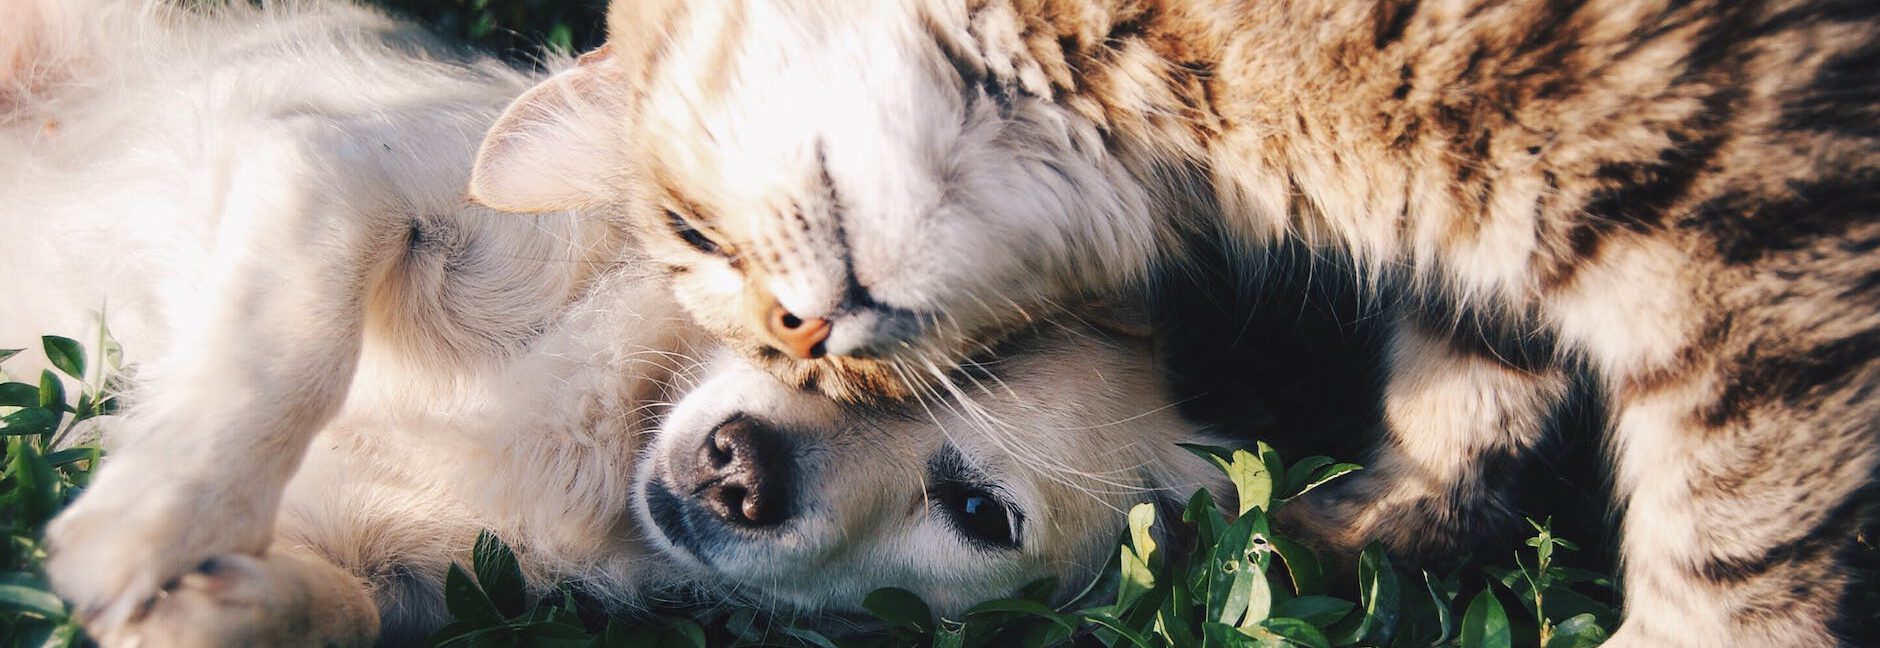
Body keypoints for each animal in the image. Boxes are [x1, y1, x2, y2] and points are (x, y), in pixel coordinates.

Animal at [3, 2, 1233, 642]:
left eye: (978, 513)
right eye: (797, 327)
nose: (742, 469)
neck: (611, 433)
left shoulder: (404, 579)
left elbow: (338, 606)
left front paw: (207, 604)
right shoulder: (340, 169)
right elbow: (286, 355)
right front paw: (152, 521)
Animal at [470, 2, 1880, 642]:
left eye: (691, 235)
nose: (799, 342)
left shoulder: (1749, 210)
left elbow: (1734, 543)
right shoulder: (1500, 224)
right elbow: (1463, 387)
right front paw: (1354, 531)